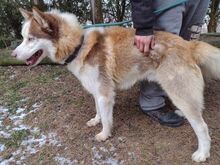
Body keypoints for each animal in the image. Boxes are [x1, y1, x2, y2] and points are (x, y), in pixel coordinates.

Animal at [12, 7, 220, 162]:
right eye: (23, 37)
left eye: (30, 38)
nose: (13, 55)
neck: (79, 45)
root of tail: (188, 44)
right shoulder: (97, 91)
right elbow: (98, 111)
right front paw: (95, 120)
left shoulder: (105, 94)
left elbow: (106, 119)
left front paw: (104, 134)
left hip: (179, 93)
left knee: (202, 127)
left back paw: (202, 153)